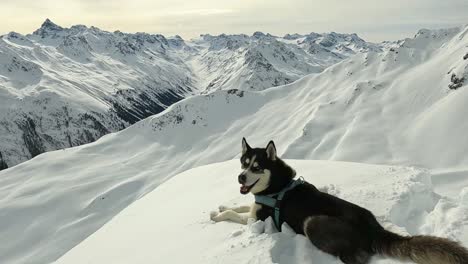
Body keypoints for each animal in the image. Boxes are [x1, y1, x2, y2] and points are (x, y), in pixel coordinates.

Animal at [210, 139, 468, 262]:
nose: (240, 177)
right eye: (243, 163)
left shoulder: (257, 220)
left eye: (257, 167)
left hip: (313, 222)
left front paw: (217, 215)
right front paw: (221, 206)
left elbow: (236, 214)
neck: (276, 187)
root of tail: (374, 228)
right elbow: (239, 205)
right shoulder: (254, 205)